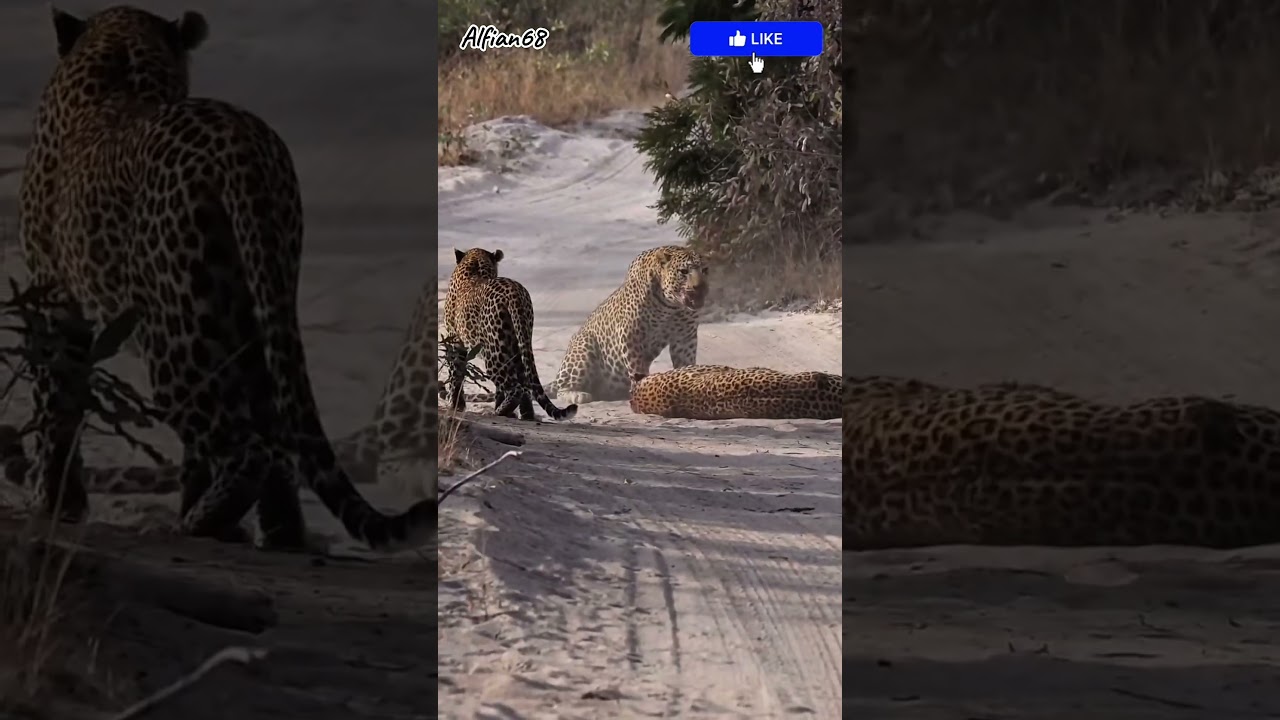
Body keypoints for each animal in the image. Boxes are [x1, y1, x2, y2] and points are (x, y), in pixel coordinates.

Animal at [15, 5, 434, 550]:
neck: (120, 62)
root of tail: (238, 142)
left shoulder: (53, 298)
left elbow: (56, 405)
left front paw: (54, 504)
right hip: (253, 304)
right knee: (272, 433)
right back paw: (277, 533)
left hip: (176, 334)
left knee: (248, 448)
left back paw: (199, 525)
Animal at [443, 248, 576, 421]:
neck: (475, 267)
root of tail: (513, 292)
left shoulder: (454, 341)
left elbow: (456, 374)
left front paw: (455, 405)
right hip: (518, 342)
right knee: (524, 383)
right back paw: (525, 414)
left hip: (494, 352)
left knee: (515, 388)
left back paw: (499, 412)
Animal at [547, 245, 709, 405]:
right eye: (684, 271)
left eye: (705, 270)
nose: (700, 287)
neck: (672, 305)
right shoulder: (631, 334)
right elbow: (637, 368)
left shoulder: (685, 336)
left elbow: (686, 363)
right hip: (584, 345)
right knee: (562, 389)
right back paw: (577, 394)